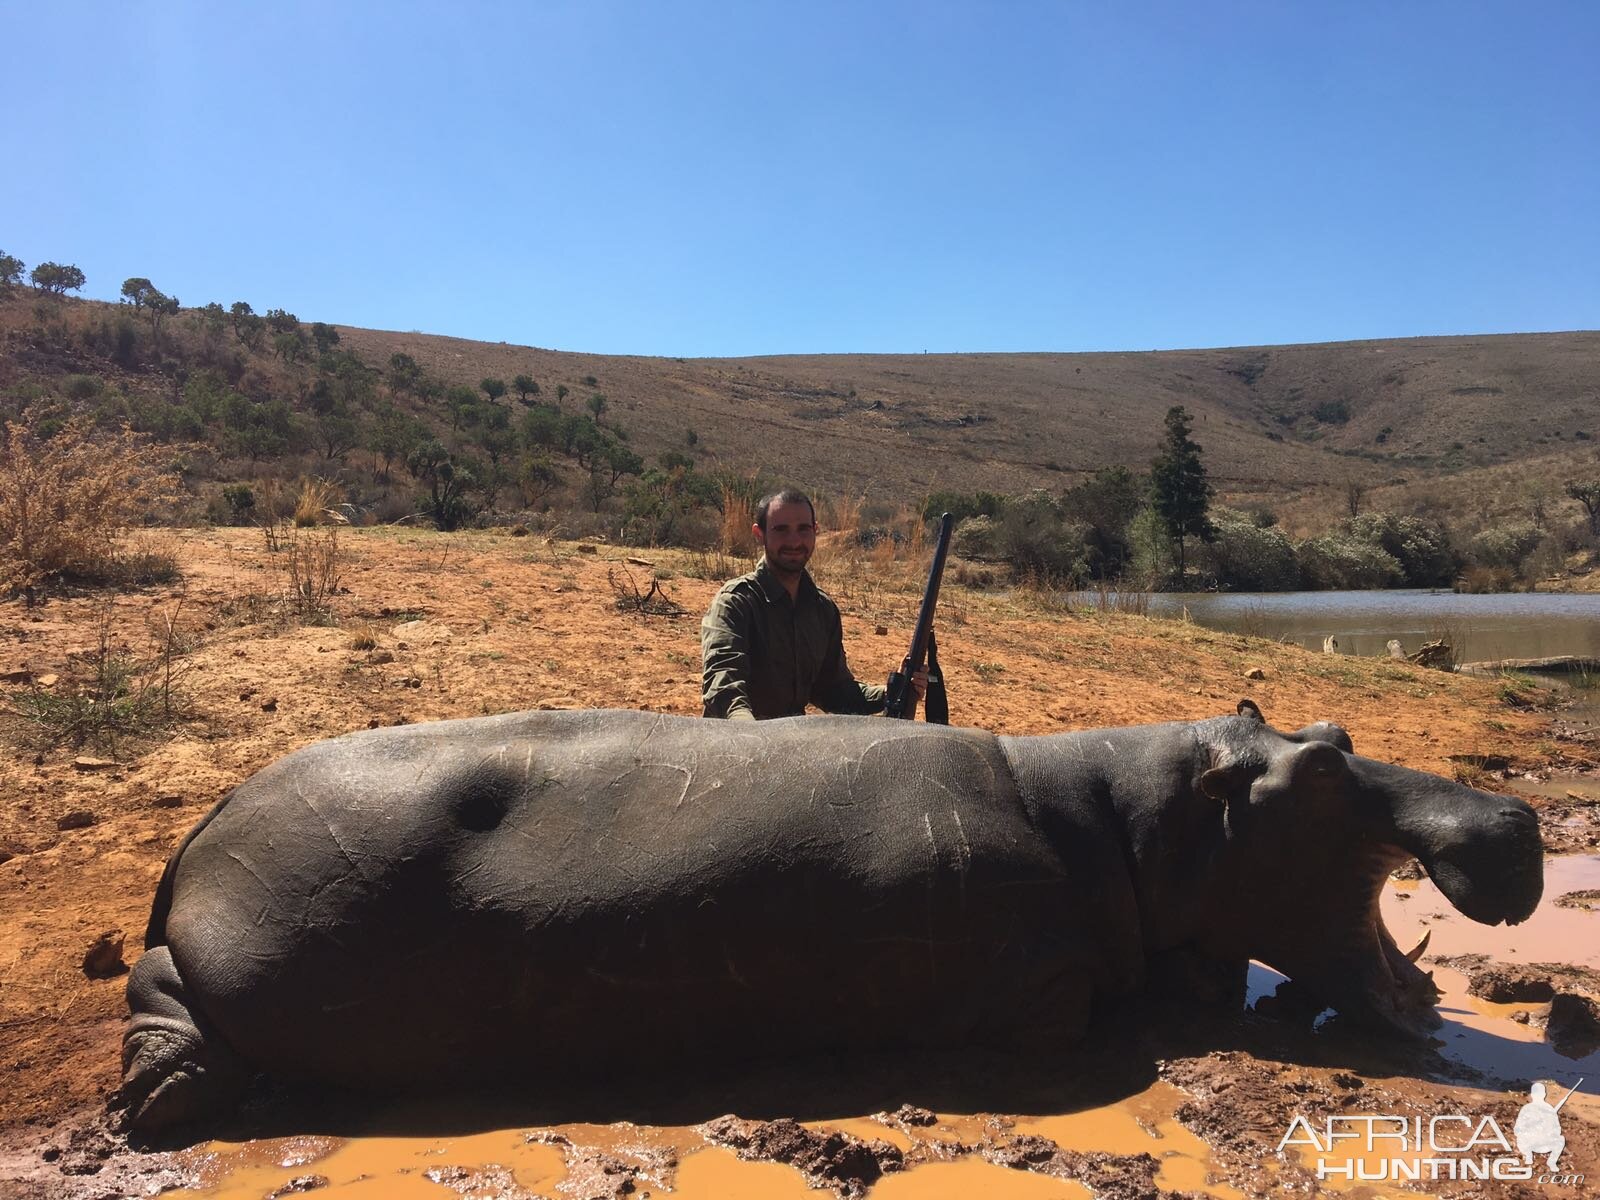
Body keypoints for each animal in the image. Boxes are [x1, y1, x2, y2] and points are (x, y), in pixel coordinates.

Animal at [118, 700, 1542, 1132]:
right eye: (1325, 768)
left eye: (1335, 729)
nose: (1517, 820)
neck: (1123, 817)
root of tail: (207, 820)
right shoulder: (1036, 982)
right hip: (243, 944)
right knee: (161, 990)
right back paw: (160, 1107)